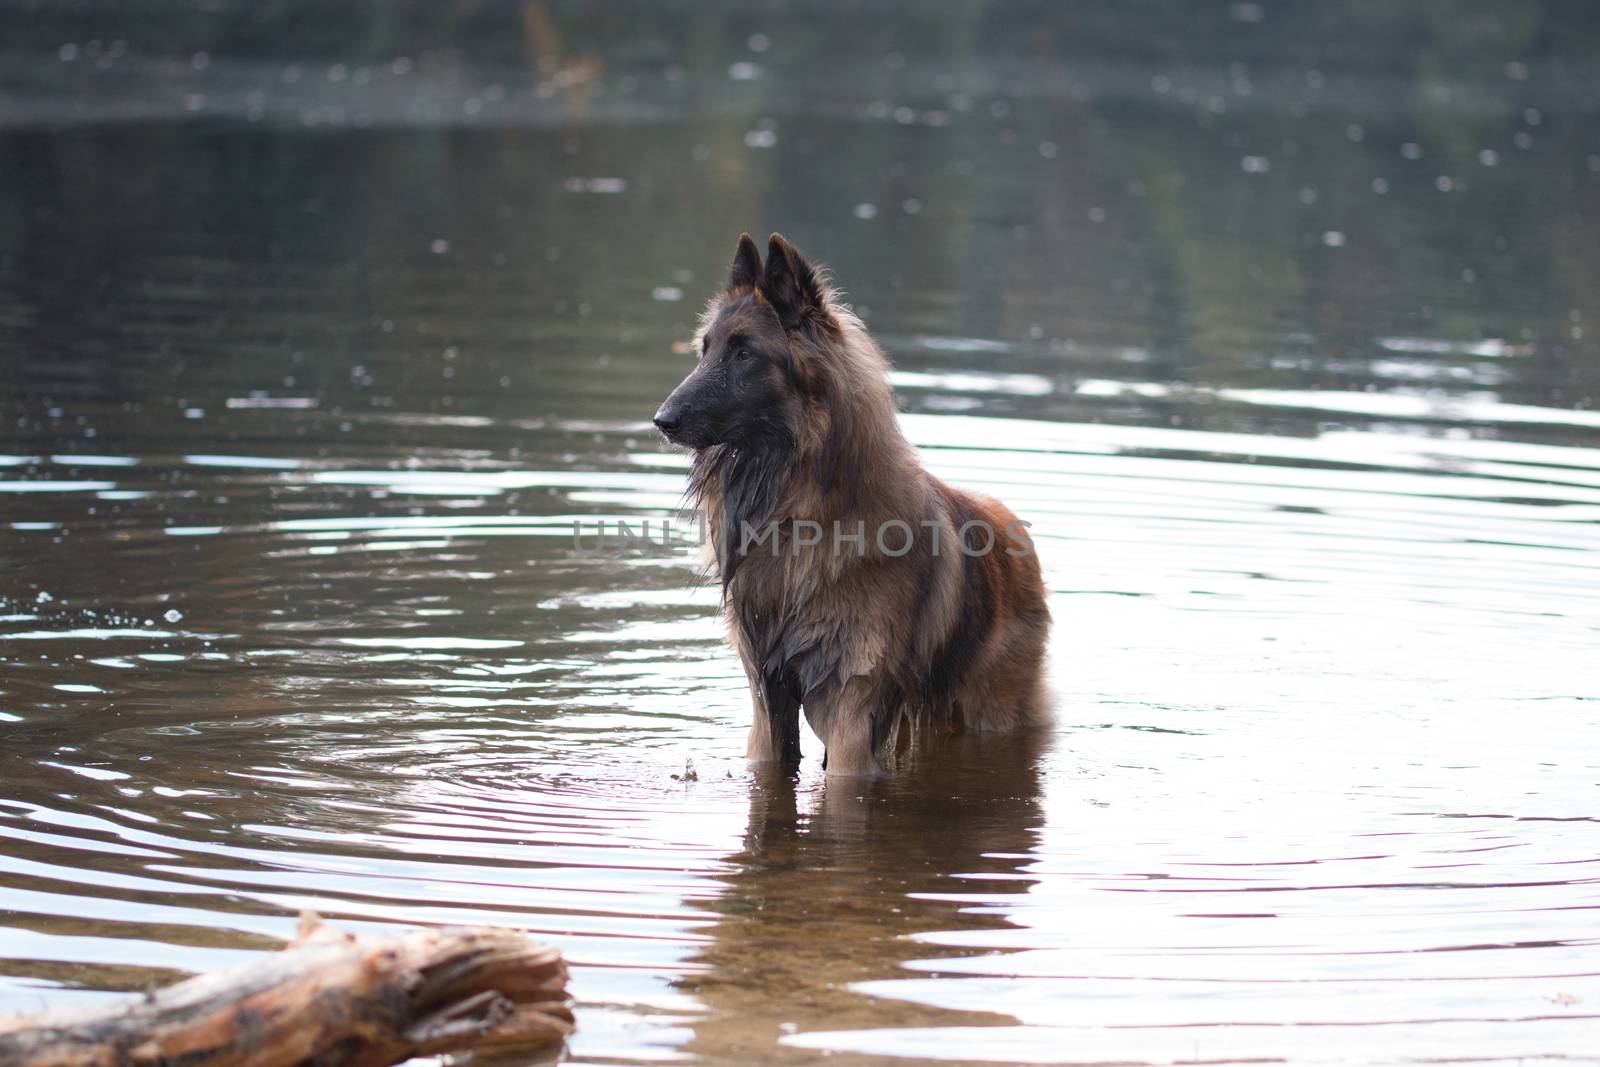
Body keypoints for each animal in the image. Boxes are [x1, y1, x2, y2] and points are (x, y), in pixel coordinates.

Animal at [652, 235, 1049, 777]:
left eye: (745, 352)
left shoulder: (849, 706)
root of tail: (1014, 527)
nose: (662, 419)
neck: (793, 516)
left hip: (987, 707)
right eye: (705, 349)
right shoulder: (766, 698)